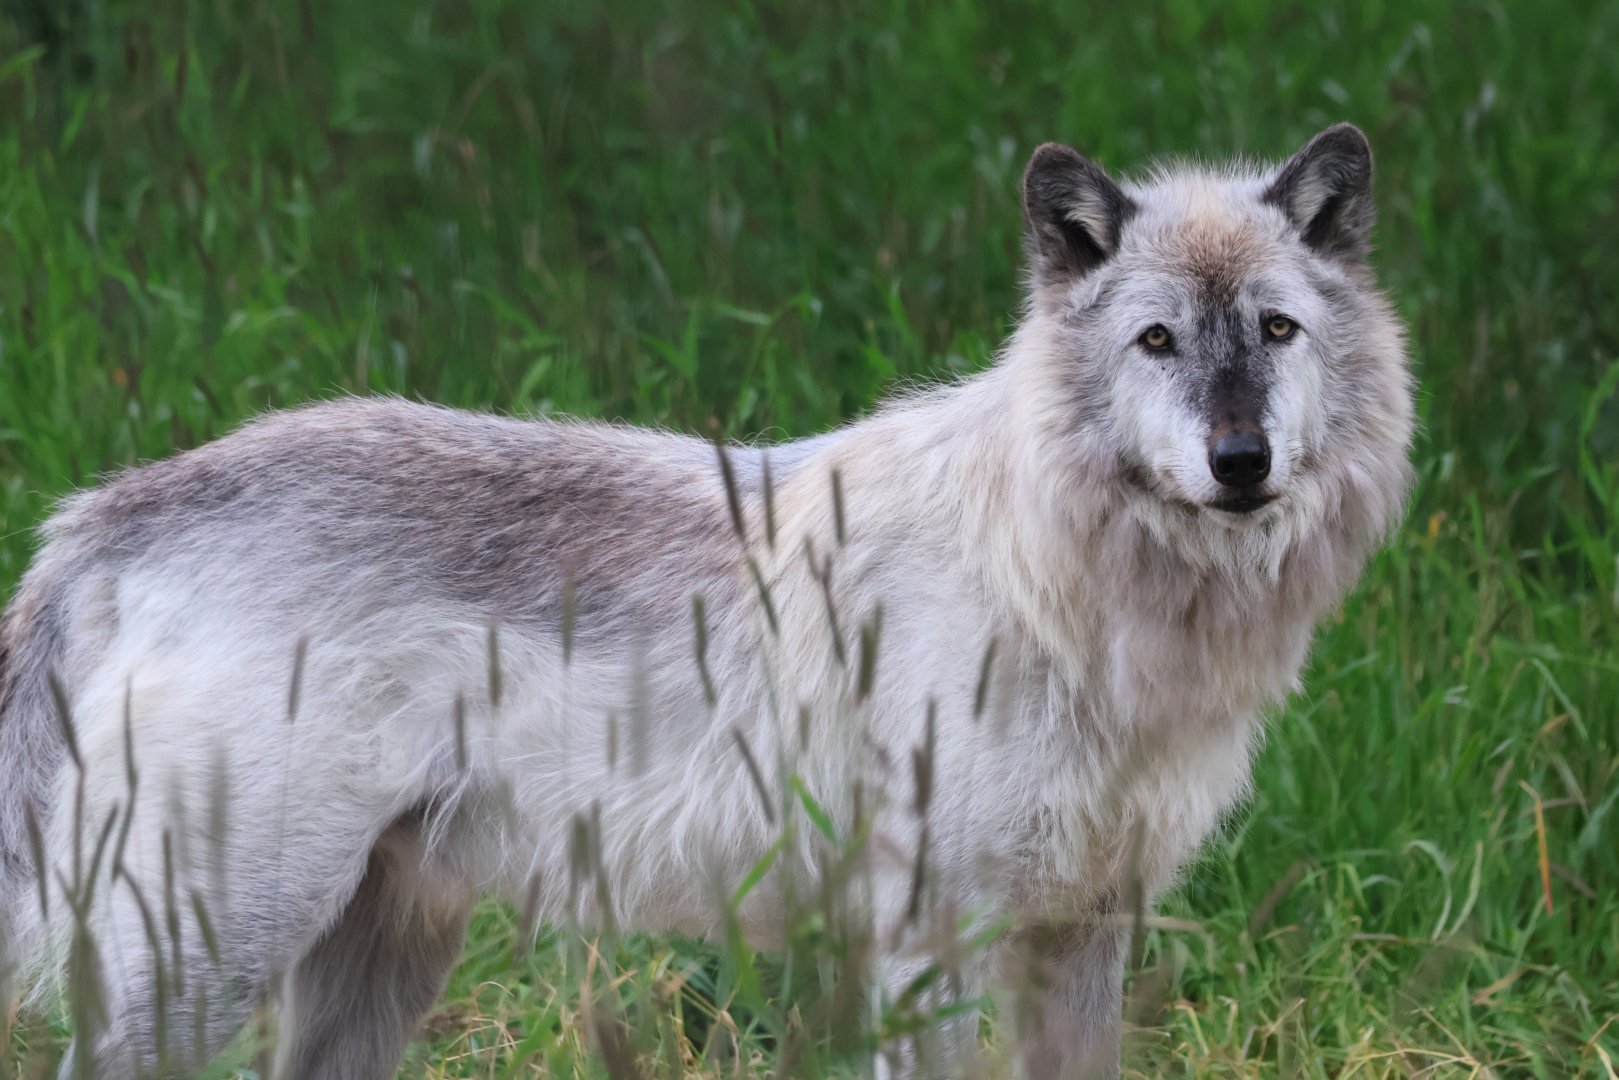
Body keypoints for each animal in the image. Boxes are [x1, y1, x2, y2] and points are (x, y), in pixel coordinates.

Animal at [0, 123, 1411, 1078]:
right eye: (1157, 342)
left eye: (1272, 331)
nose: (1239, 461)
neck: (1062, 589)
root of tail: (108, 513)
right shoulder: (930, 938)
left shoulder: (1081, 928)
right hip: (209, 970)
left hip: (374, 964)